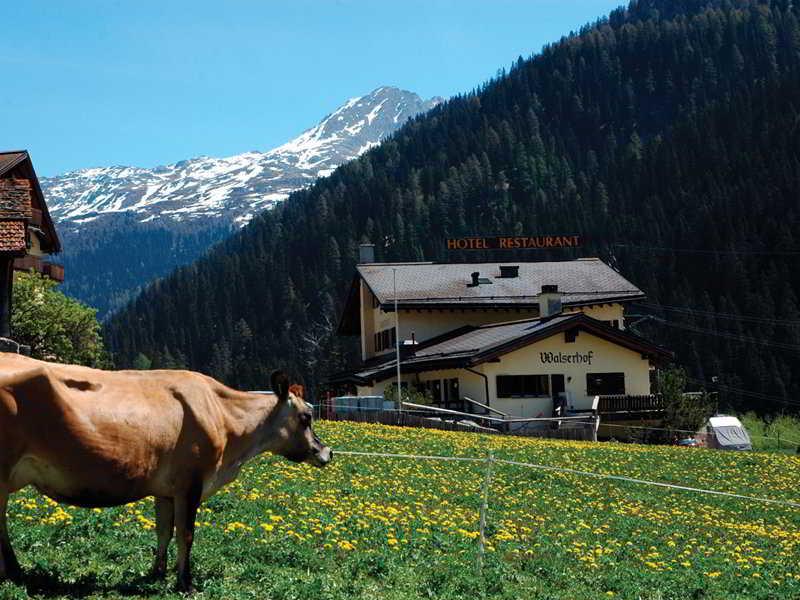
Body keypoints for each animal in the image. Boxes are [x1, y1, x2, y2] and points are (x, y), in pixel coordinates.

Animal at [0, 352, 332, 592]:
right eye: (306, 416)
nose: (326, 452)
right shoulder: (190, 484)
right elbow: (186, 533)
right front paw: (185, 582)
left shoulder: (165, 491)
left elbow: (164, 531)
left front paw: (156, 573)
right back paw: (14, 571)